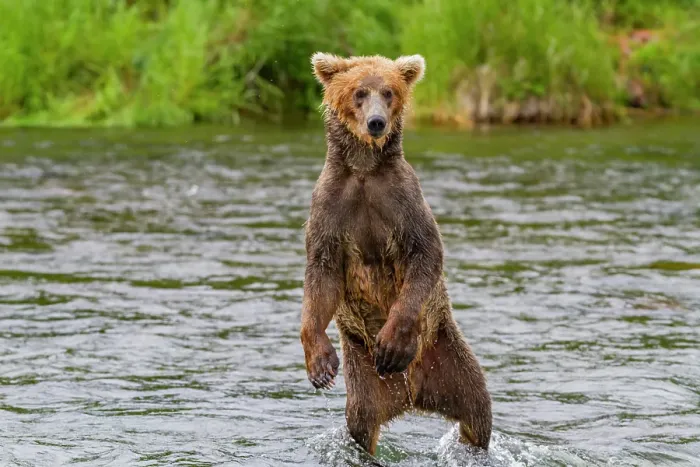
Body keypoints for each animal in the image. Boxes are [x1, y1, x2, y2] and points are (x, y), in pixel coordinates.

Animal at [299, 52, 492, 457]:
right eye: (359, 92)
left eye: (388, 92)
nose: (377, 122)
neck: (364, 170)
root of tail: (413, 391)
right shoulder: (330, 207)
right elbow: (321, 276)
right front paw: (320, 366)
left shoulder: (402, 201)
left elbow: (425, 255)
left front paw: (391, 342)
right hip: (364, 376)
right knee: (361, 422)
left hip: (447, 353)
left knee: (477, 410)